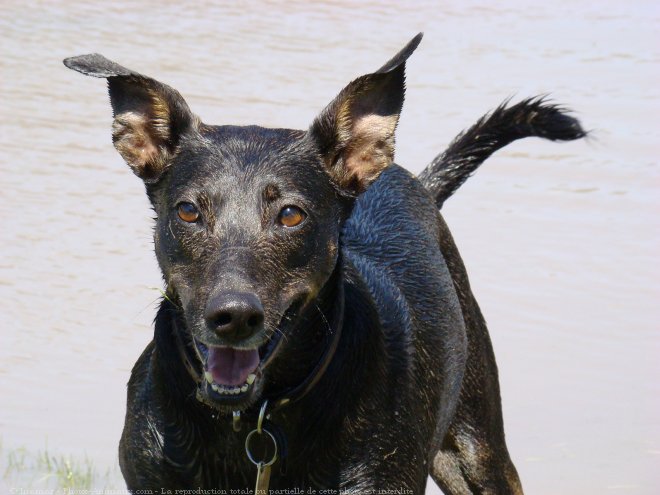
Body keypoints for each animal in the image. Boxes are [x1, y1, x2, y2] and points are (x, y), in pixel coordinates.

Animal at [64, 33, 584, 494]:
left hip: (478, 449)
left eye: (291, 214)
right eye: (189, 210)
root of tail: (418, 181)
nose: (233, 316)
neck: (248, 422)